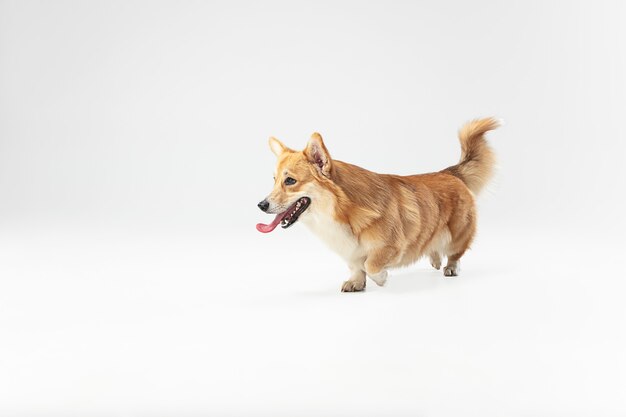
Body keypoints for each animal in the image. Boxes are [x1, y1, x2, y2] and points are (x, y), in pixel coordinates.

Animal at [254, 118, 498, 290]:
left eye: (290, 181)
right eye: (274, 180)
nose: (261, 205)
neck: (341, 210)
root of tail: (449, 172)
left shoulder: (392, 246)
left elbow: (370, 265)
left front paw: (381, 279)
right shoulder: (350, 252)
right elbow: (356, 267)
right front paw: (355, 282)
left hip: (459, 233)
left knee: (456, 252)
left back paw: (450, 267)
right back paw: (435, 260)